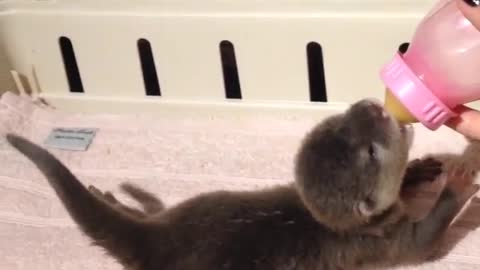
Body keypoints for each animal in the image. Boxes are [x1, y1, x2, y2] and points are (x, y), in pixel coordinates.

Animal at [6, 99, 476, 270]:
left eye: (343, 116)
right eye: (371, 153)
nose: (374, 106)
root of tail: (158, 241)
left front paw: (422, 169)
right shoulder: (383, 244)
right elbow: (426, 241)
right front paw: (459, 181)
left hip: (192, 205)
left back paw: (114, 198)